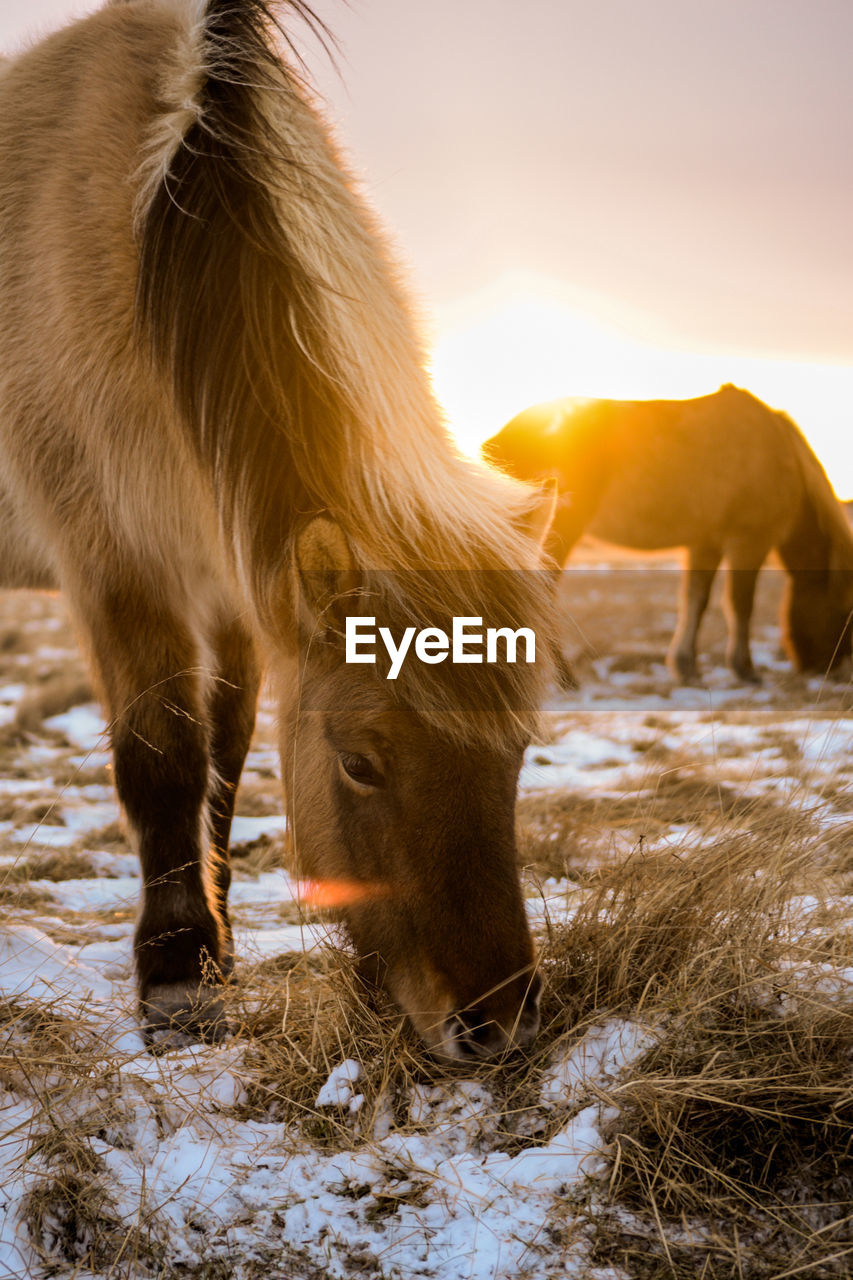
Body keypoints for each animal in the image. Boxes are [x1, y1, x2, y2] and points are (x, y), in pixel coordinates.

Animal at [0, 0, 558, 1059]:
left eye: (515, 754)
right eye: (360, 762)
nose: (497, 1025)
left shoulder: (233, 583)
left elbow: (224, 754)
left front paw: (218, 950)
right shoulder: (119, 566)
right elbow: (164, 757)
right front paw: (179, 979)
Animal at [484, 384, 850, 686]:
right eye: (847, 611)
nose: (829, 667)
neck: (781, 451)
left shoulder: (706, 542)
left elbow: (695, 601)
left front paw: (686, 666)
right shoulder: (749, 540)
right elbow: (740, 605)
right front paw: (744, 668)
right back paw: (565, 677)